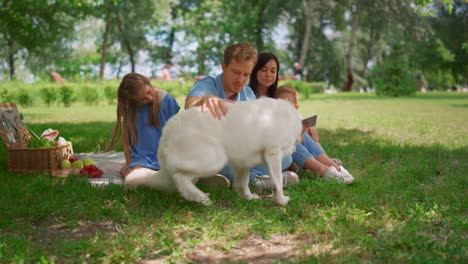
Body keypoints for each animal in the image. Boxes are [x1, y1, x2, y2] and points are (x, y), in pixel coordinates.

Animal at [122, 97, 302, 206]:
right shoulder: (273, 153)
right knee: (180, 177)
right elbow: (278, 181)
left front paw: (248, 197)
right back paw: (201, 198)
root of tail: (167, 134)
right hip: (215, 159)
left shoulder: (241, 163)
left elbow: (243, 182)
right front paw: (281, 200)